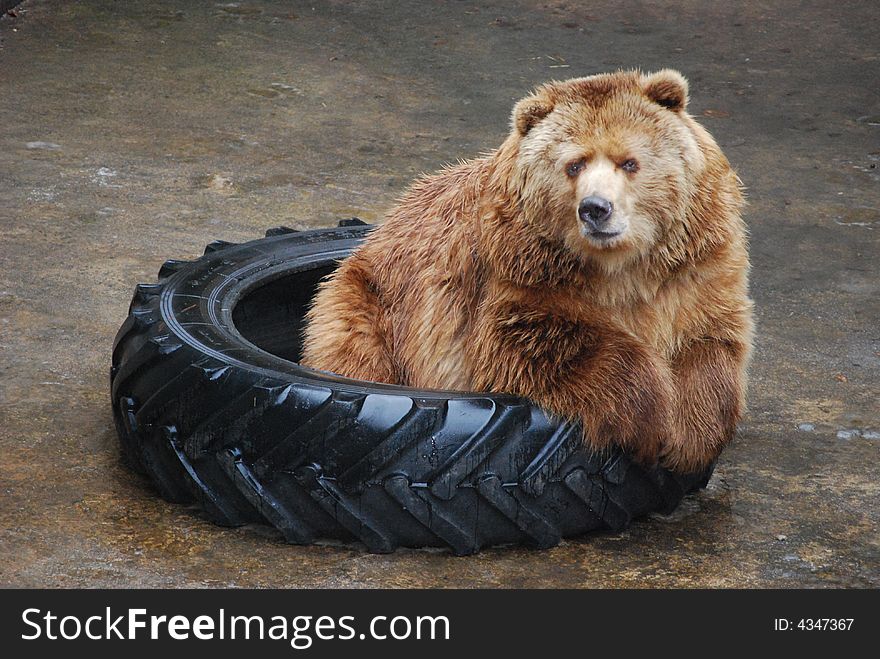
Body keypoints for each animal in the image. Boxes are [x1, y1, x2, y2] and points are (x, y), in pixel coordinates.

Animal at [300, 69, 748, 474]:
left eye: (629, 162)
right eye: (574, 165)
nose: (595, 208)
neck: (619, 266)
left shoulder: (694, 268)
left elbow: (709, 344)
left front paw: (689, 435)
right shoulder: (520, 273)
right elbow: (535, 340)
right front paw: (649, 420)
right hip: (372, 303)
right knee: (354, 350)